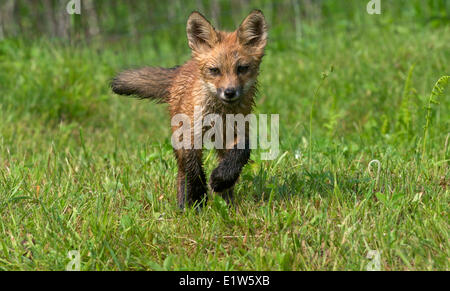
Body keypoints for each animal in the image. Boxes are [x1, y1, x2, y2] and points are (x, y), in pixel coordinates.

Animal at [111, 10, 268, 209]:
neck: (220, 114)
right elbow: (193, 171)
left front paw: (220, 179)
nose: (229, 92)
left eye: (242, 68)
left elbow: (242, 152)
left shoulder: (235, 132)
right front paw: (199, 196)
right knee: (182, 173)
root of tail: (182, 68)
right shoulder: (189, 135)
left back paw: (228, 204)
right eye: (214, 70)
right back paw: (184, 207)